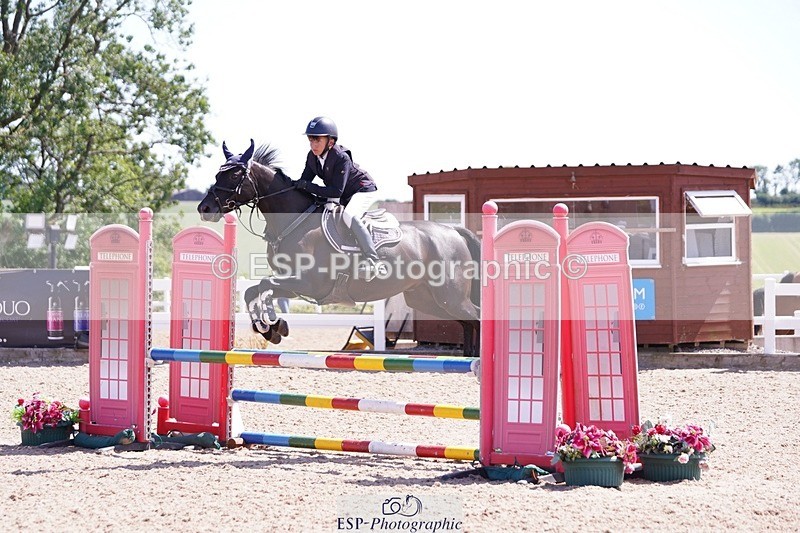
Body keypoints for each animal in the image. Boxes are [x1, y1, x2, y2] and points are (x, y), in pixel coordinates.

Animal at [197, 140, 481, 356]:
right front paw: (270, 329)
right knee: (470, 322)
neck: (295, 220)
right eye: (218, 173)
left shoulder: (308, 283)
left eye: (235, 175)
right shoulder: (294, 284)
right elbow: (253, 291)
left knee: (478, 317)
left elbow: (265, 285)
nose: (204, 208)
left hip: (450, 297)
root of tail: (454, 231)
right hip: (429, 299)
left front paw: (274, 326)